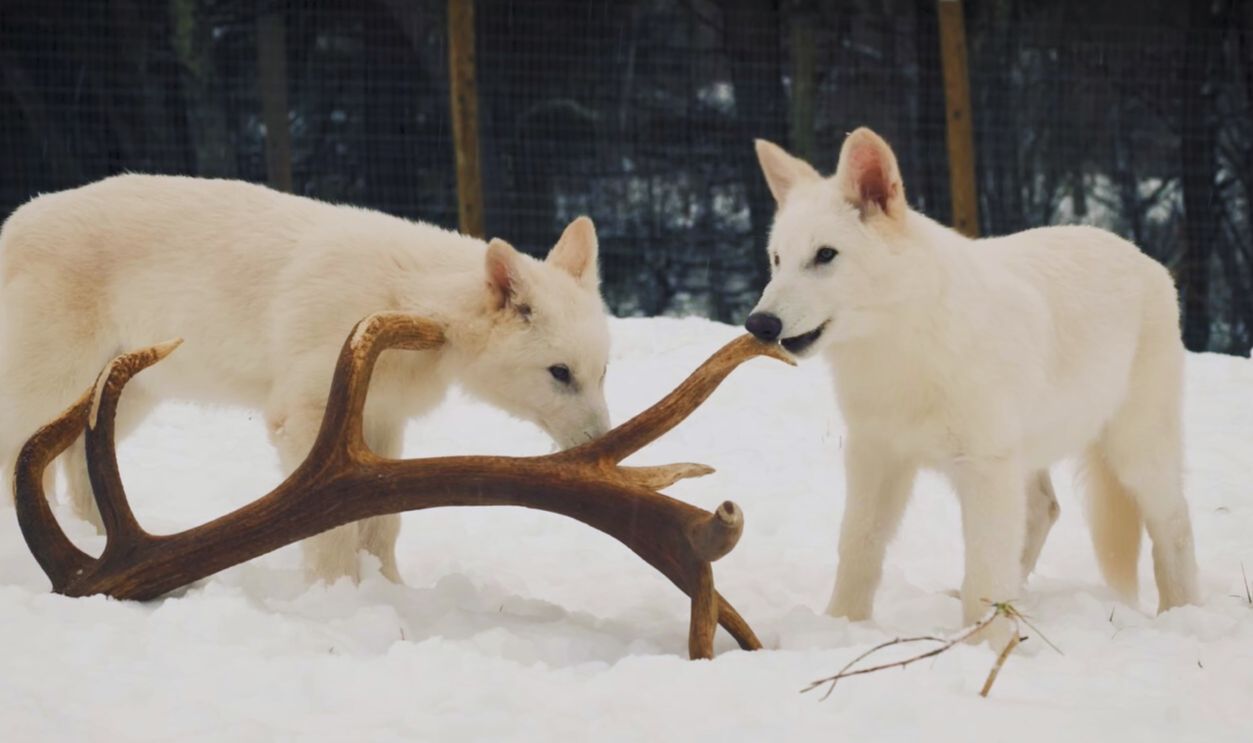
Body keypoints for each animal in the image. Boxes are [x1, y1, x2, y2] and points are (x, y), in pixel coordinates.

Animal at [0, 174, 611, 584]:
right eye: (560, 373)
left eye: (602, 372)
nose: (601, 443)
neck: (411, 300)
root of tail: (15, 222)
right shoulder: (307, 420)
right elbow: (332, 532)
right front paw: (339, 600)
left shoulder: (381, 423)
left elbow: (383, 525)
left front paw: (390, 595)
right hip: (46, 386)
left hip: (128, 393)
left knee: (79, 463)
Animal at [746, 128, 1199, 642]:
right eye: (777, 261)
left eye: (825, 256)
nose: (758, 324)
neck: (901, 349)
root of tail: (1143, 257)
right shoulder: (875, 457)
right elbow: (859, 544)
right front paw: (841, 626)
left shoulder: (983, 469)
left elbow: (982, 571)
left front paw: (984, 646)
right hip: (1031, 457)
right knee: (1044, 510)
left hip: (1135, 455)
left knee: (1175, 524)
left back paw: (1181, 614)